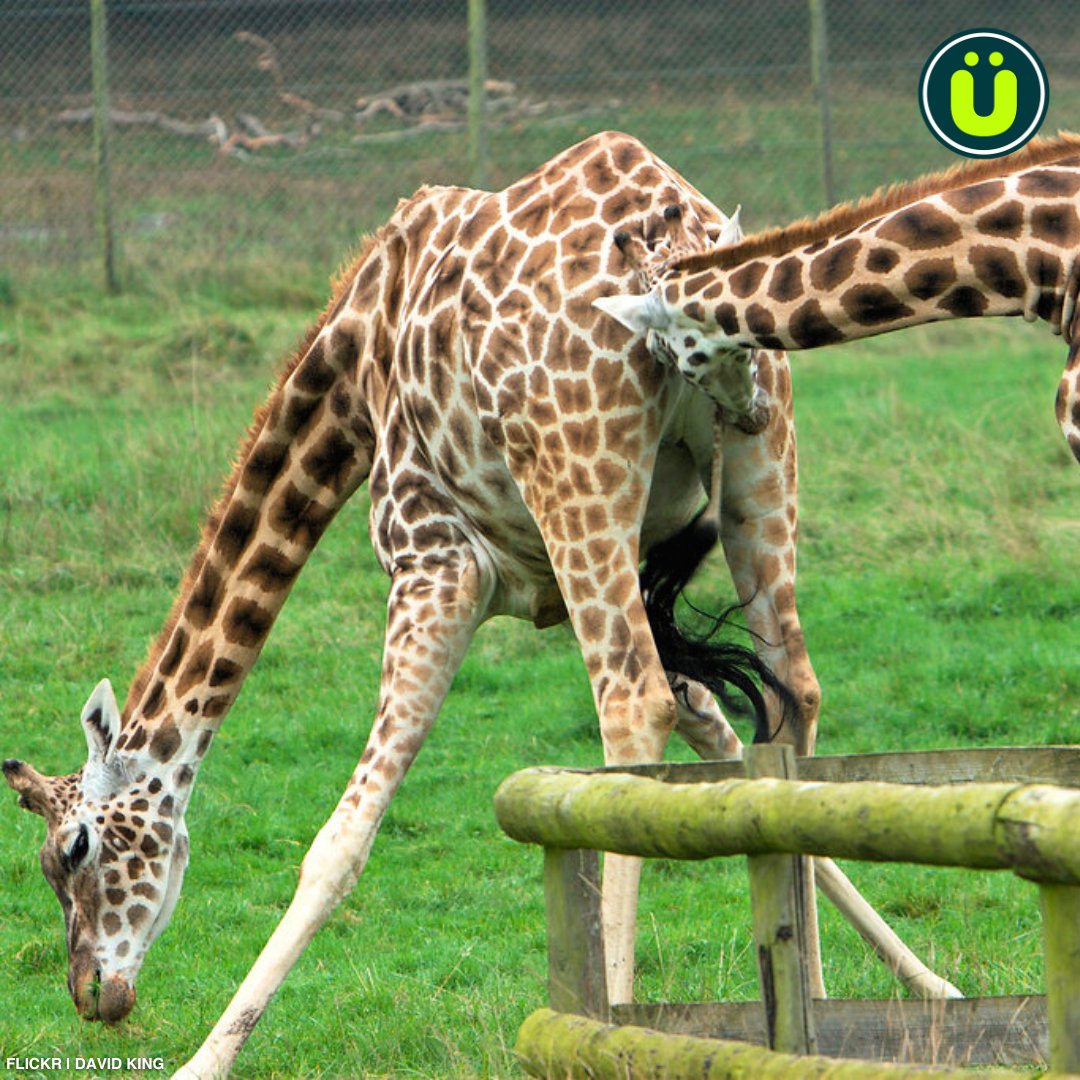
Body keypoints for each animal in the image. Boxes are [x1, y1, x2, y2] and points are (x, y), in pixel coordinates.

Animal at [3, 132, 821, 1076]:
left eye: (74, 849)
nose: (95, 996)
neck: (353, 362)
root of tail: (676, 223)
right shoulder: (565, 580)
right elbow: (724, 740)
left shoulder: (433, 565)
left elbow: (339, 843)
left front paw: (204, 1060)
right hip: (758, 451)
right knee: (793, 696)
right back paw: (821, 1005)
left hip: (578, 480)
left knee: (631, 706)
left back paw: (613, 1025)